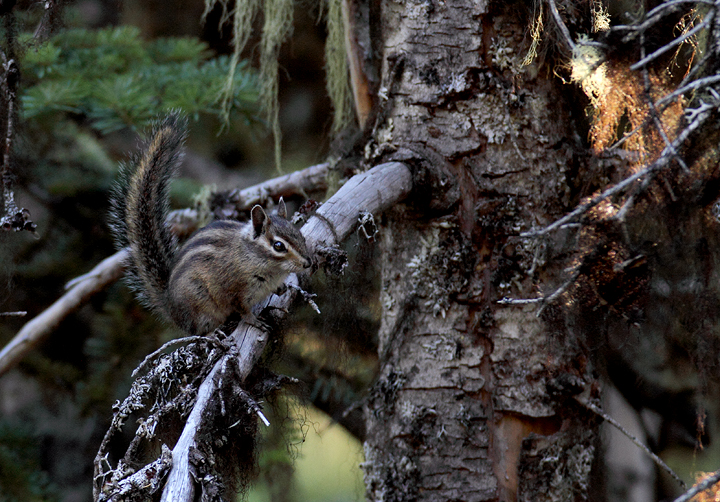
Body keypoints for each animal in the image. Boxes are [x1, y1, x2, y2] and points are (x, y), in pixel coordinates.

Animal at [110, 114, 312, 336]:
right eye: (278, 246)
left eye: (301, 236)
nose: (308, 263)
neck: (251, 257)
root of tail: (169, 304)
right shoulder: (233, 290)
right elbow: (242, 309)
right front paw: (254, 320)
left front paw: (281, 288)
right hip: (200, 306)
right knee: (199, 330)